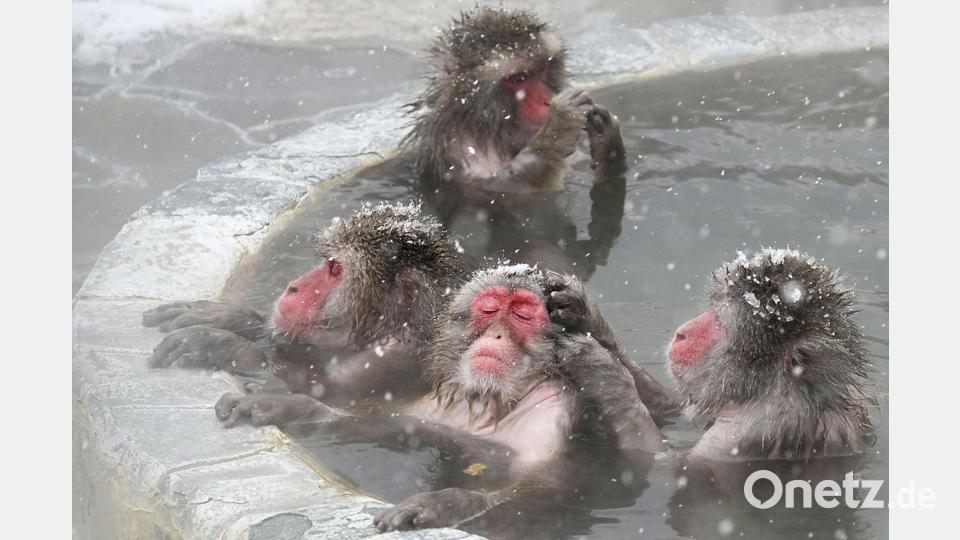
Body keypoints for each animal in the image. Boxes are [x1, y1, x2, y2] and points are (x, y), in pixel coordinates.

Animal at [142, 202, 462, 406]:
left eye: (335, 269)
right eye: (328, 262)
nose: (293, 286)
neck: (384, 331)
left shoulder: (389, 362)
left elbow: (324, 391)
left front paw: (222, 345)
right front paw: (227, 318)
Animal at [214, 264, 666, 531]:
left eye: (523, 314)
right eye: (490, 309)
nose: (496, 336)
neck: (494, 402)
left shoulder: (556, 416)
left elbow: (551, 487)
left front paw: (444, 505)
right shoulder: (439, 410)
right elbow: (391, 425)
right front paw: (289, 405)